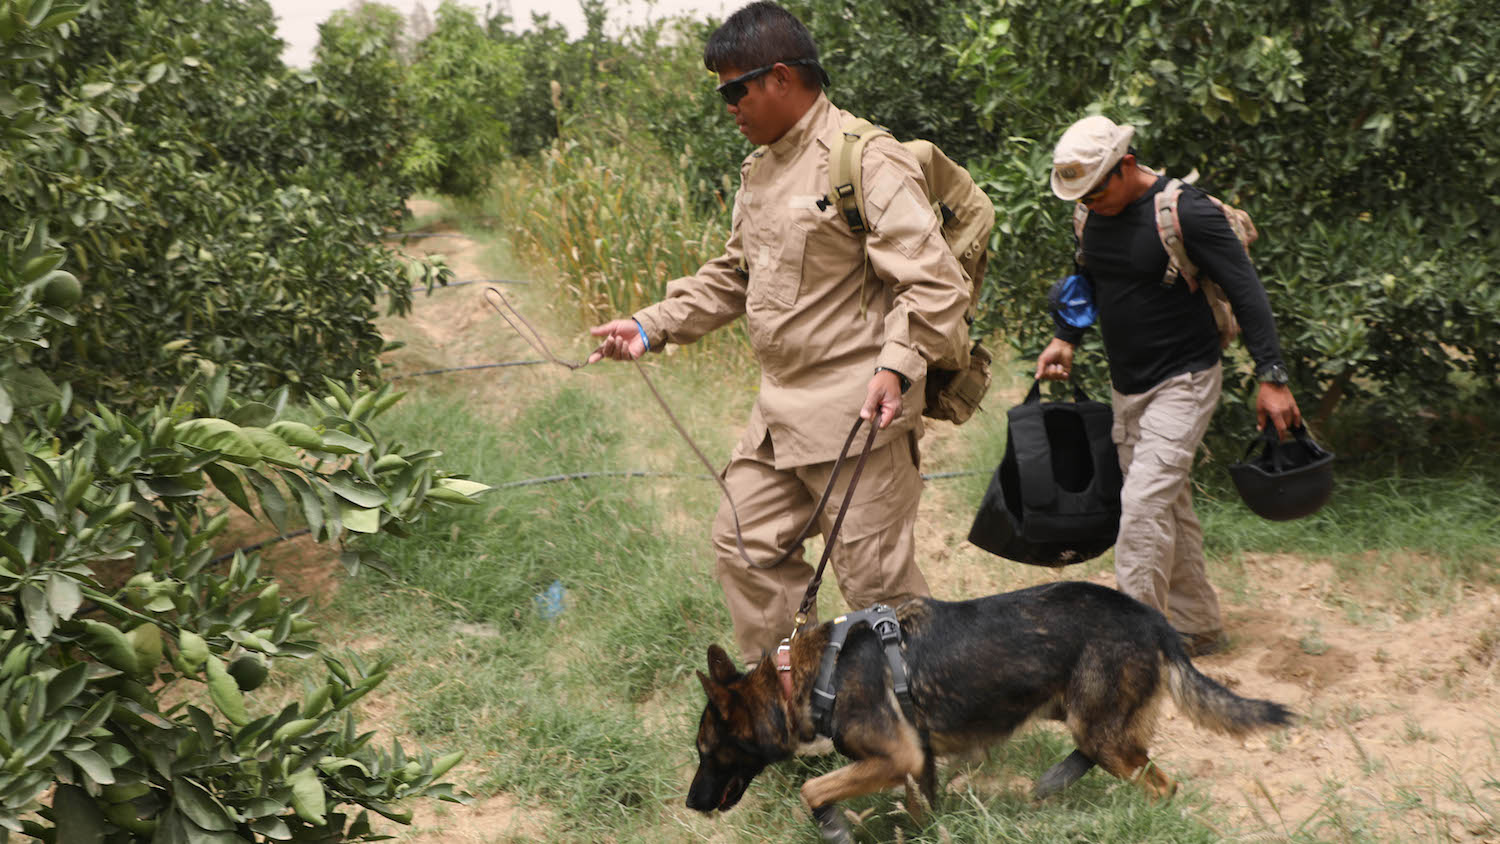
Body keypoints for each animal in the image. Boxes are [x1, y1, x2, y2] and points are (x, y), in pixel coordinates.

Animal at [687, 581, 1293, 842]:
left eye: (705, 751)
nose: (691, 804)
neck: (811, 677)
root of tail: (1154, 619)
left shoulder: (895, 757)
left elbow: (813, 790)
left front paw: (832, 826)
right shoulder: (917, 765)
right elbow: (921, 816)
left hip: (1100, 727)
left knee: (1158, 784)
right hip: (1092, 721)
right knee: (1109, 756)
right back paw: (1054, 779)